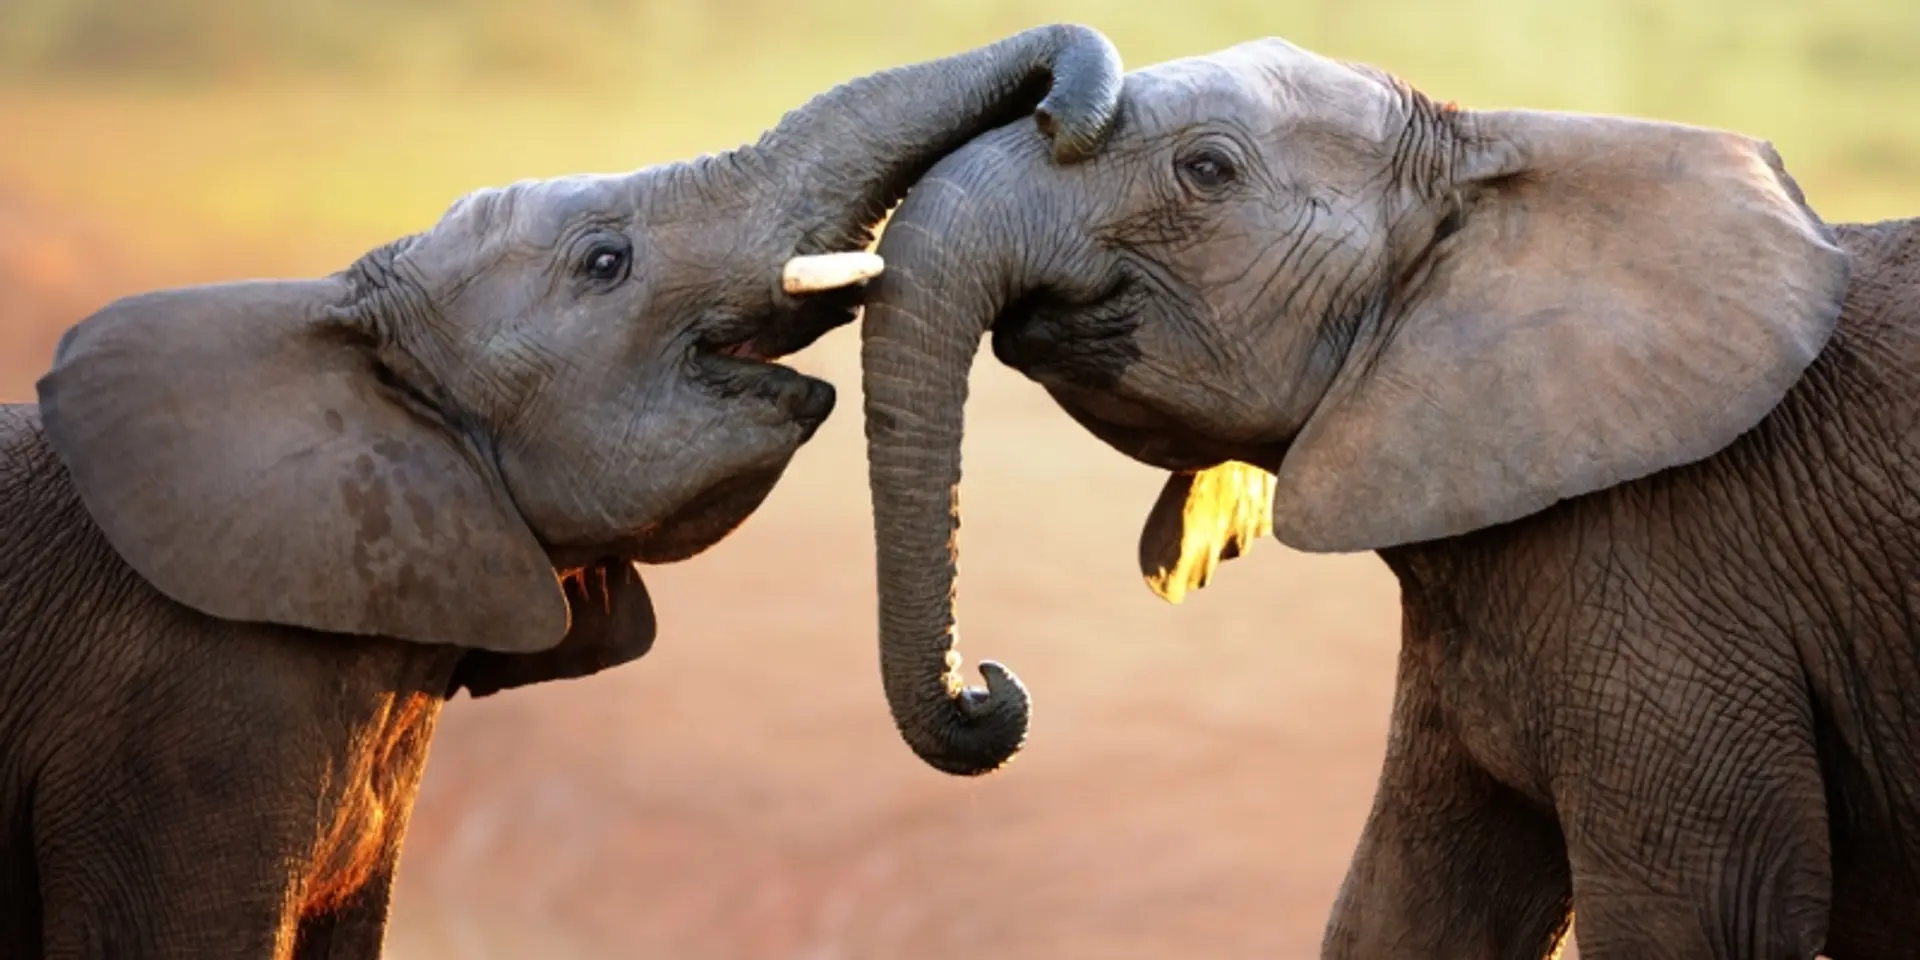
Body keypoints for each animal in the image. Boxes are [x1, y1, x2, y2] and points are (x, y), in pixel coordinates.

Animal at [854, 35, 1920, 960]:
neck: (1488, 157)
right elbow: (1406, 909)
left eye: (1207, 170)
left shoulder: (1672, 570)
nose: (987, 686)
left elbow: (1698, 919)